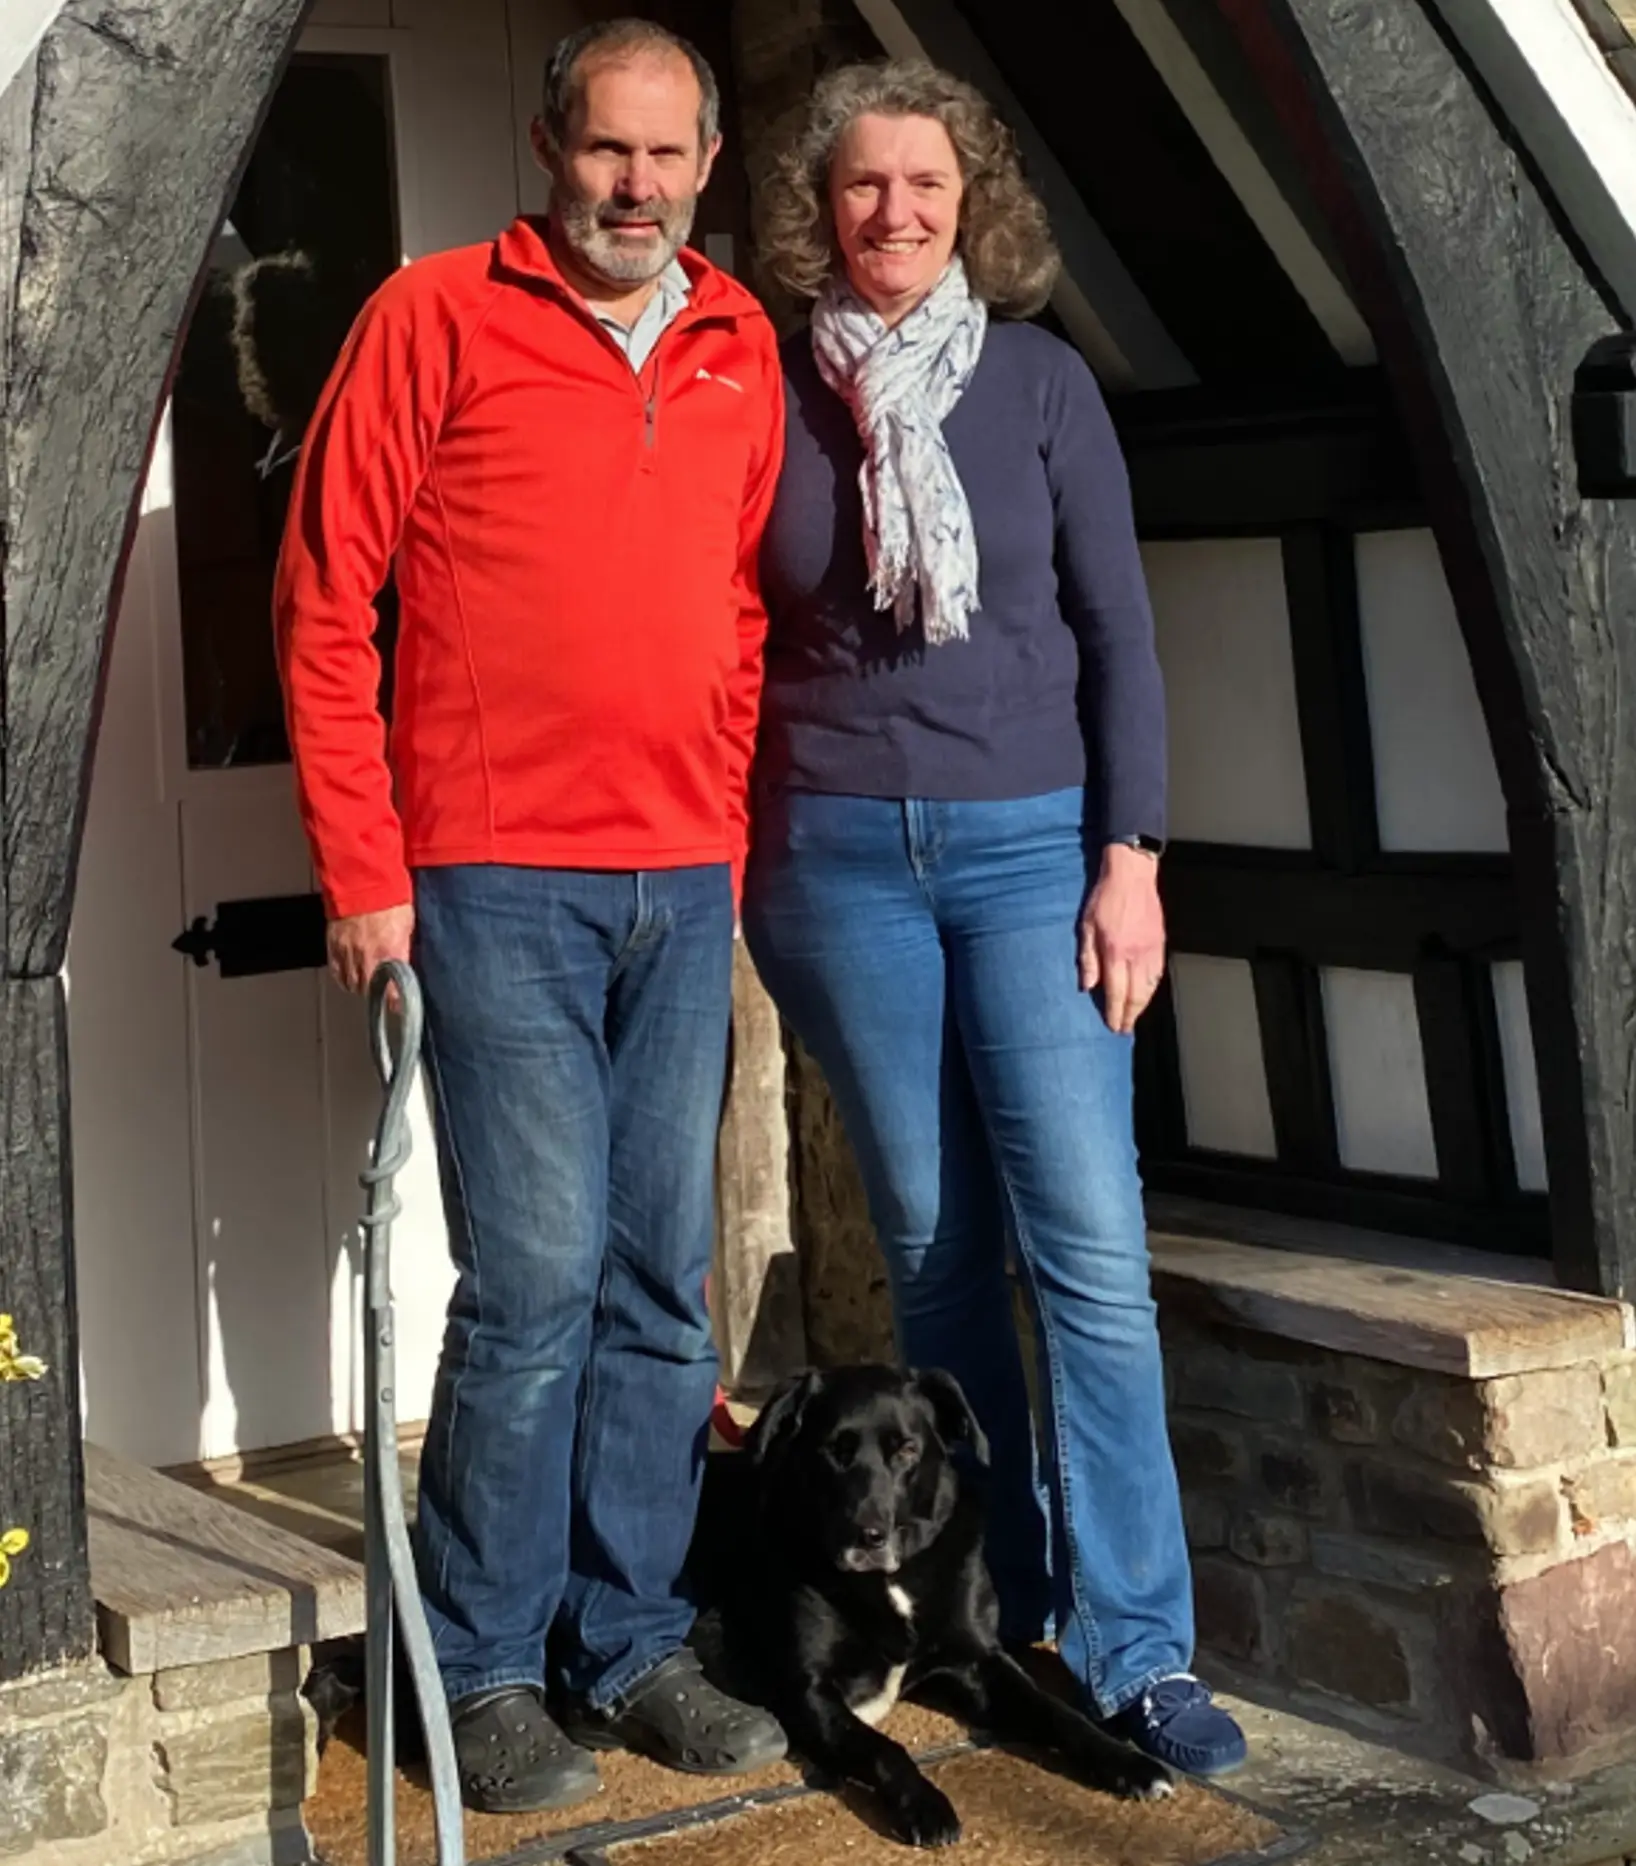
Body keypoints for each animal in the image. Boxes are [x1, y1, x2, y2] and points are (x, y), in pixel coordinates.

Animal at [720, 1365, 1171, 1843]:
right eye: (834, 1451)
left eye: (906, 1450)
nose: (867, 1537)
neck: (892, 1579)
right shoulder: (808, 1690)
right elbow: (883, 1747)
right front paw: (925, 1802)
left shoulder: (979, 1662)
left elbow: (1057, 1711)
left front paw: (1126, 1762)